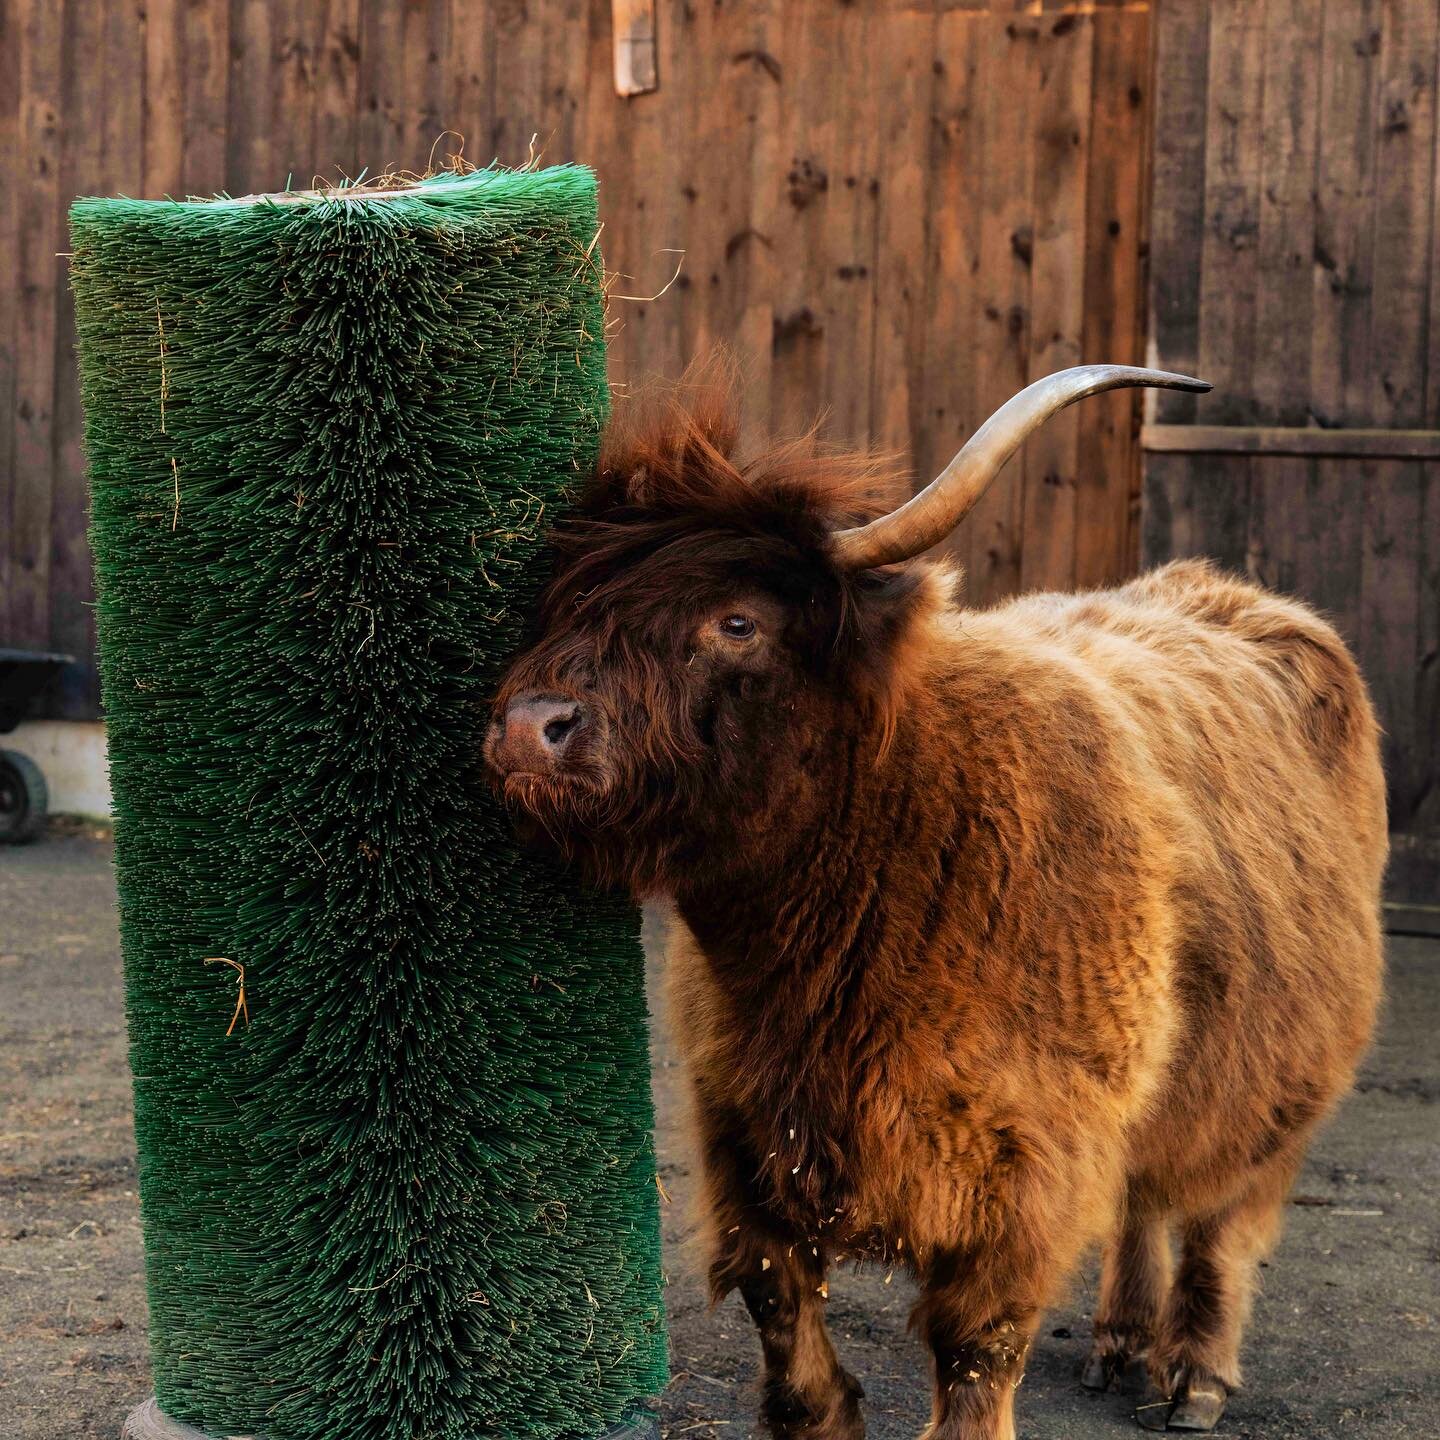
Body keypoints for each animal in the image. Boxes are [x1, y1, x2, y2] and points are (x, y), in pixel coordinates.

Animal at [489, 368, 1388, 1440]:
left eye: (737, 621)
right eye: (565, 603)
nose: (530, 726)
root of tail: (1233, 595)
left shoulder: (1027, 1167)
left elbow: (975, 1347)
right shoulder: (741, 1127)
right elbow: (775, 1300)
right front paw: (824, 1411)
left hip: (1282, 1074)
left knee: (1223, 1215)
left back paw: (1195, 1375)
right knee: (1144, 1198)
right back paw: (1119, 1343)